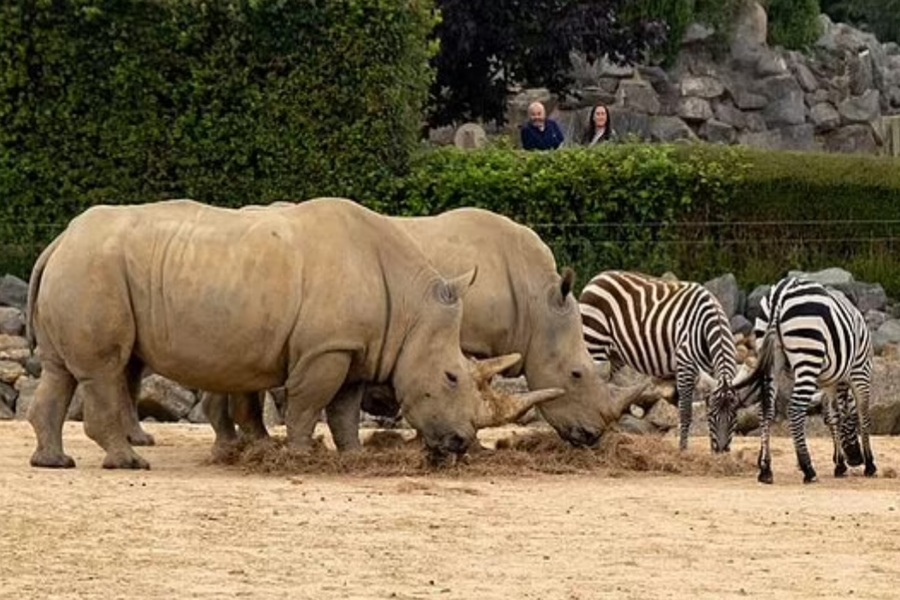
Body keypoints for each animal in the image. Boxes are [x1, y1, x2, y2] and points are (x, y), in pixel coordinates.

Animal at [580, 270, 740, 452]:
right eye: (714, 415)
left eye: (734, 415)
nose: (722, 450)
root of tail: (596, 278)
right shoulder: (685, 364)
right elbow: (685, 411)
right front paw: (683, 449)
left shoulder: (708, 371)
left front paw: (712, 452)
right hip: (594, 344)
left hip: (614, 355)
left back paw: (610, 435)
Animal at [744, 276, 880, 482]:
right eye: (853, 422)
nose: (856, 460)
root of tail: (780, 293)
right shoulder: (861, 371)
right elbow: (864, 416)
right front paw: (870, 465)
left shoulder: (829, 382)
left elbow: (833, 416)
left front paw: (840, 465)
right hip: (807, 354)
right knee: (795, 409)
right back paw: (808, 468)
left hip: (770, 356)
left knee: (765, 410)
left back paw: (766, 469)